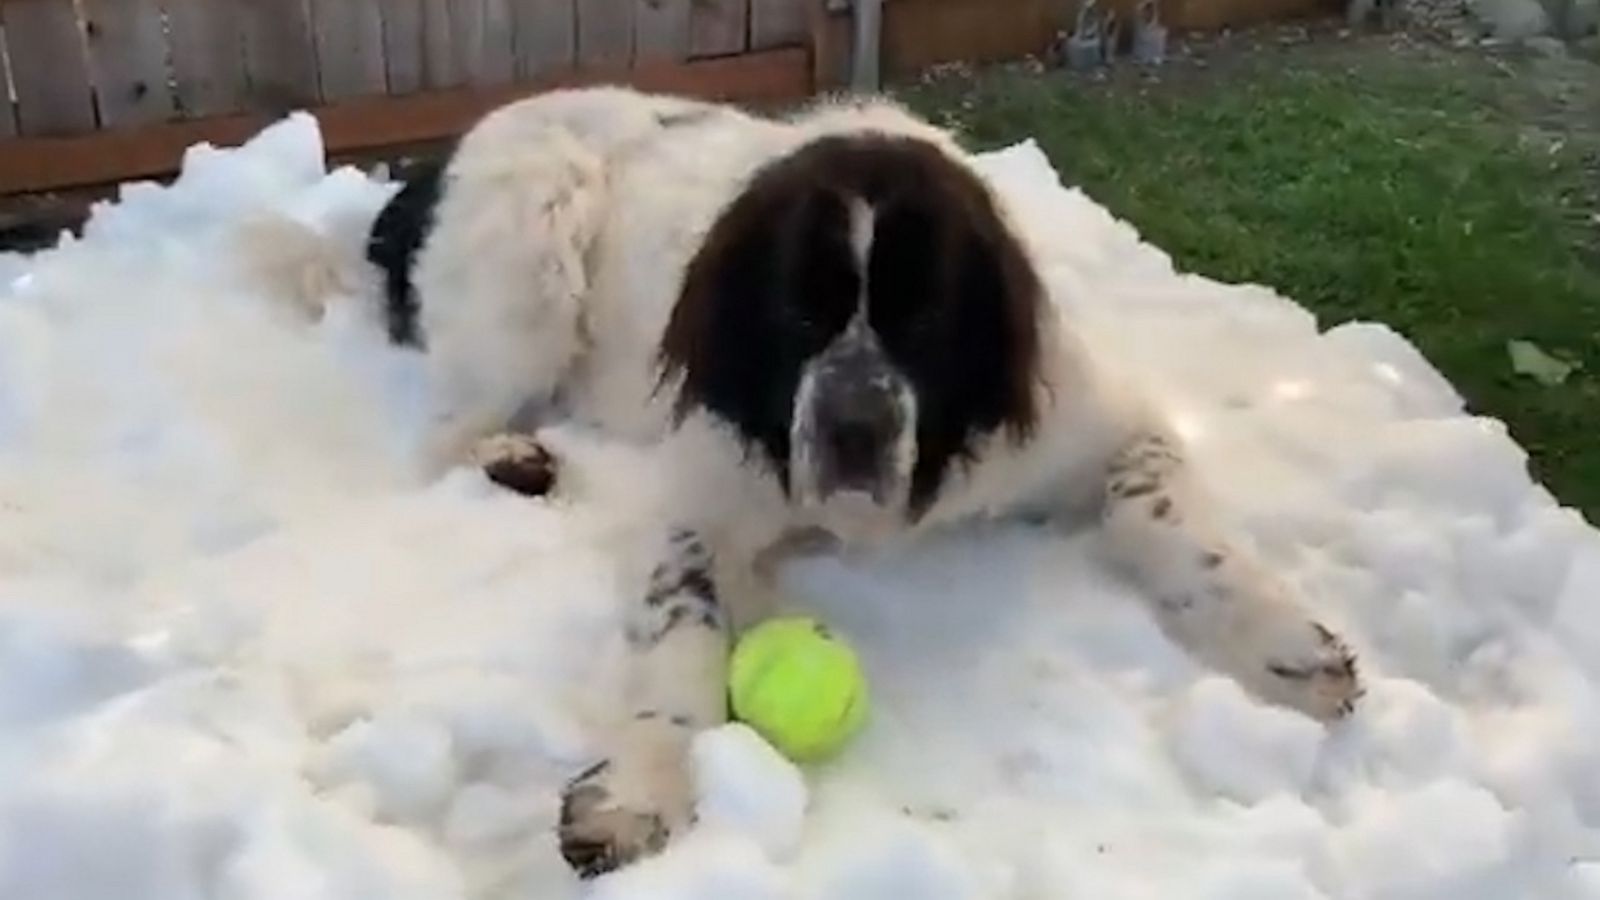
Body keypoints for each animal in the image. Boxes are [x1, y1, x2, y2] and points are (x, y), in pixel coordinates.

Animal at [256, 85, 1356, 877]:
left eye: (925, 316)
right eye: (797, 310)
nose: (852, 427)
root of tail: (427, 167)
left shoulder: (1096, 427)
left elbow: (1165, 517)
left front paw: (1286, 645)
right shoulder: (704, 489)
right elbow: (686, 622)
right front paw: (643, 783)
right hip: (537, 230)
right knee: (447, 426)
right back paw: (512, 459)